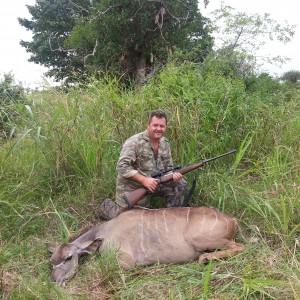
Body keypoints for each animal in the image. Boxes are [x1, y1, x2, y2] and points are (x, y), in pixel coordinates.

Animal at [46, 207, 244, 284]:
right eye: (52, 261)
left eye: (68, 257)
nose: (55, 280)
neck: (105, 231)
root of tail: (232, 220)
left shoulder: (126, 260)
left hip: (198, 238)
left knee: (240, 247)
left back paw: (205, 258)